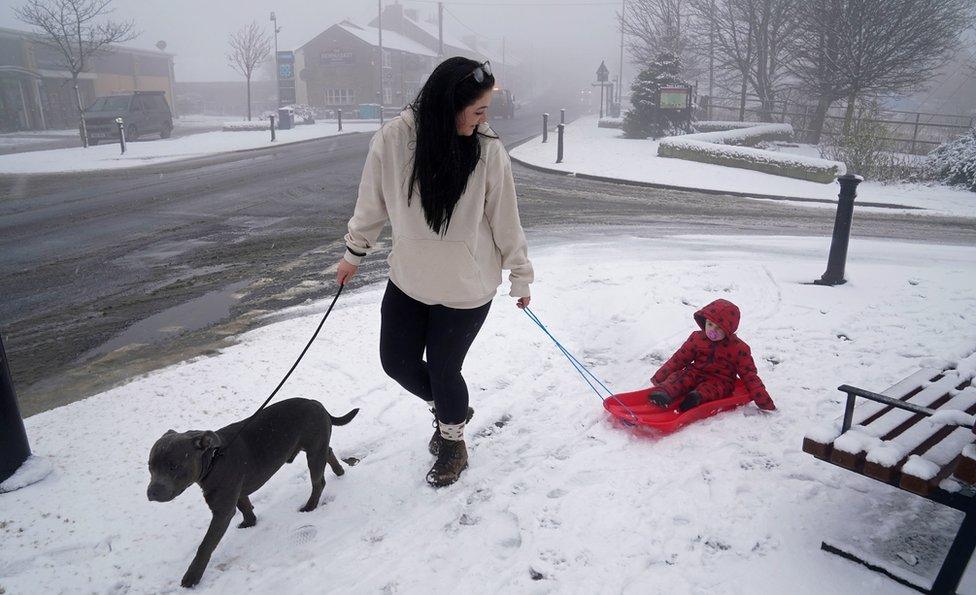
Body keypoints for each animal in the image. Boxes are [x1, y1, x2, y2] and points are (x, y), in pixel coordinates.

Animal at [145, 398, 358, 588]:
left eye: (173, 466)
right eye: (150, 466)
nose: (151, 492)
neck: (213, 459)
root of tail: (317, 403)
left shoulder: (222, 511)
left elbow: (205, 545)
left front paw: (192, 577)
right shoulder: (236, 493)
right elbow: (244, 506)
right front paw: (249, 523)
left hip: (314, 452)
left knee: (318, 481)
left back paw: (310, 506)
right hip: (317, 448)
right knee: (329, 453)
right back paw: (339, 471)